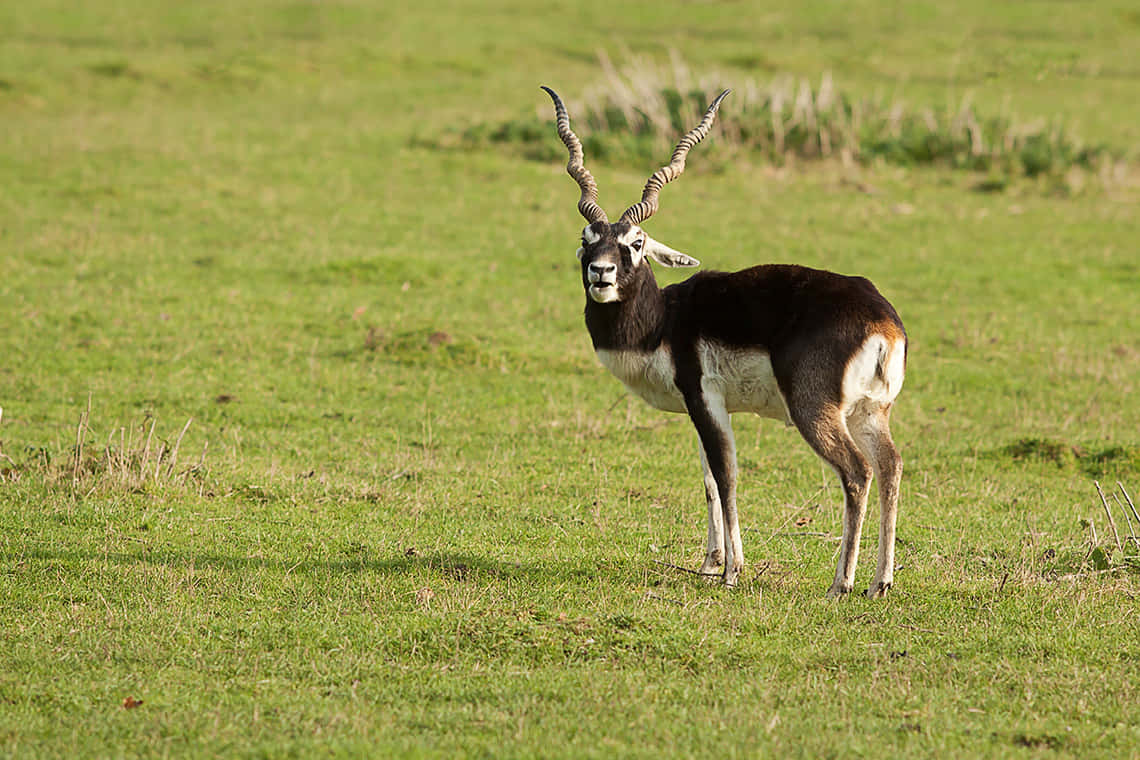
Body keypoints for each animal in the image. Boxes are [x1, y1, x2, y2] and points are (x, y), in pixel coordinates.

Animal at [542, 86, 907, 597]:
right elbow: (709, 480)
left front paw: (734, 570)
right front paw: (711, 562)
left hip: (815, 409)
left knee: (857, 472)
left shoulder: (704, 397)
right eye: (587, 237)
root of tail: (883, 321)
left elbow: (726, 476)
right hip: (869, 410)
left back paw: (842, 584)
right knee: (891, 466)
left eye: (637, 242)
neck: (665, 321)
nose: (601, 272)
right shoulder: (703, 406)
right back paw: (881, 582)